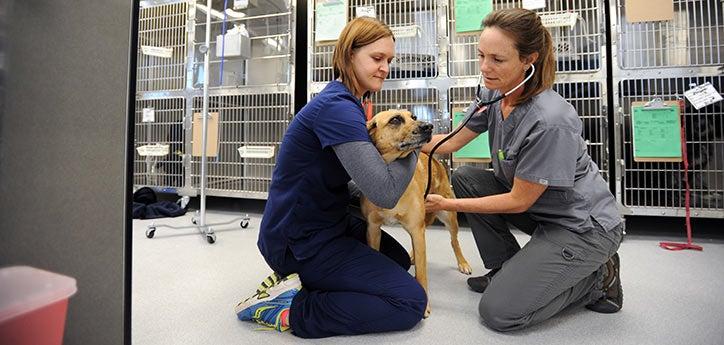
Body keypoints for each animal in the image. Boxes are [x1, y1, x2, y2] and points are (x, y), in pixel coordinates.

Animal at [360, 109, 472, 318]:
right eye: (395, 120)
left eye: (413, 117)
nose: (428, 126)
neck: (390, 178)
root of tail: (435, 159)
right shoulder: (373, 228)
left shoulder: (415, 228)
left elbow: (421, 273)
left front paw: (425, 304)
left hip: (448, 215)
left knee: (454, 241)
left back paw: (462, 263)